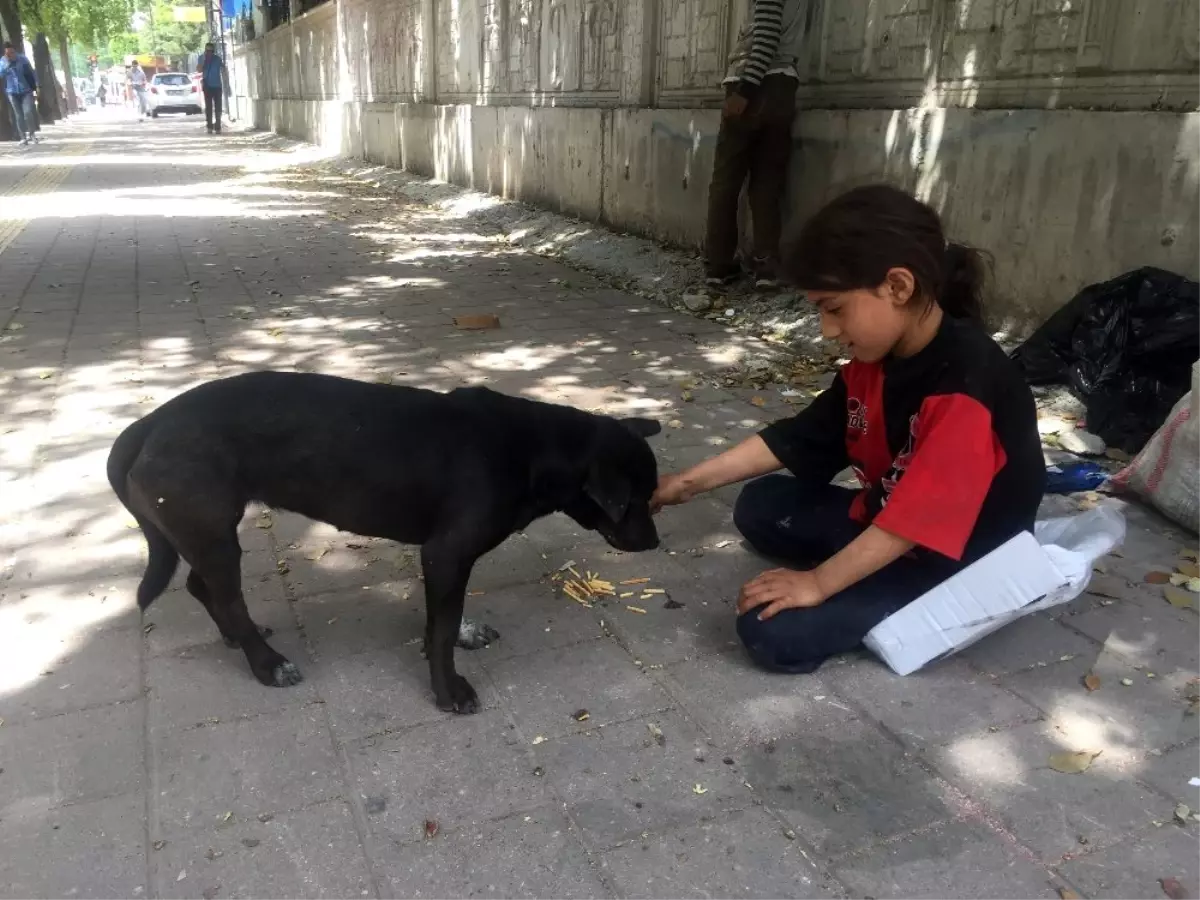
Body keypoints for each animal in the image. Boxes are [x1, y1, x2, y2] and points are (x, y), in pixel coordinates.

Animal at [108, 369, 662, 715]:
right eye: (634, 499)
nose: (655, 542)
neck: (531, 448)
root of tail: (150, 423)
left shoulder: (444, 561)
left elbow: (444, 621)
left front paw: (459, 635)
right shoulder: (446, 553)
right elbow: (442, 632)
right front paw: (448, 689)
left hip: (208, 534)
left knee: (203, 589)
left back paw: (239, 639)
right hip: (214, 535)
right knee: (222, 595)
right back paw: (265, 664)